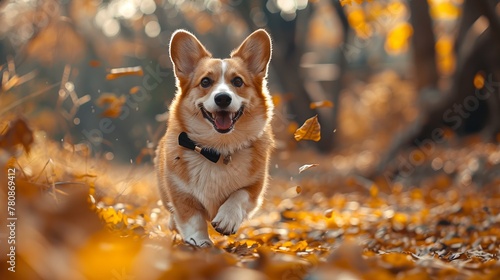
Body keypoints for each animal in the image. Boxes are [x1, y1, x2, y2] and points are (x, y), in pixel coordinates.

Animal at [155, 29, 276, 246]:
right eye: (205, 82)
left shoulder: (255, 187)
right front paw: (201, 243)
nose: (222, 98)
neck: (218, 149)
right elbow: (193, 220)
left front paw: (227, 218)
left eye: (237, 81)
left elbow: (239, 195)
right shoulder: (180, 193)